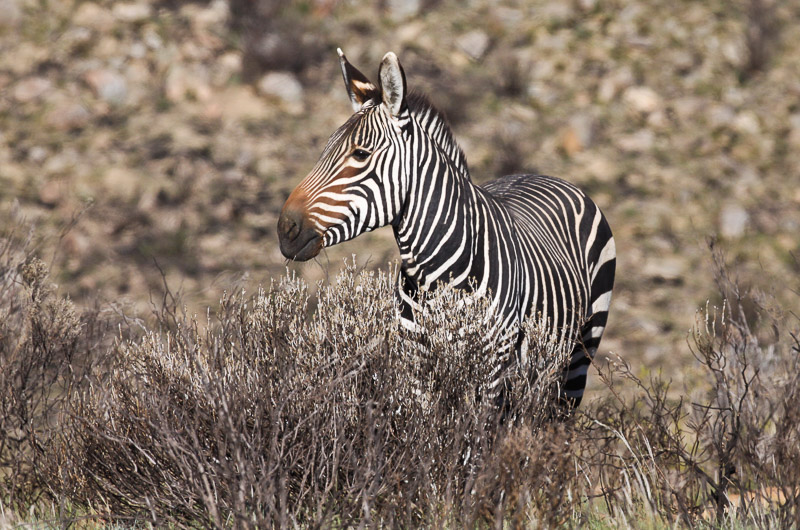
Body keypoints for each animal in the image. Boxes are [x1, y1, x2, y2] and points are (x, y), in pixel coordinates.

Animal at [278, 49, 616, 406]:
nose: (285, 228)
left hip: (581, 353)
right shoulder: (415, 365)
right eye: (324, 150)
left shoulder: (492, 369)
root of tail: (543, 175)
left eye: (360, 154)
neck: (432, 274)